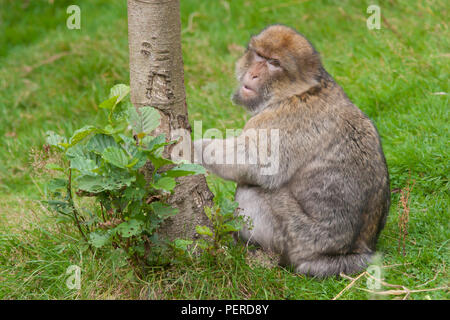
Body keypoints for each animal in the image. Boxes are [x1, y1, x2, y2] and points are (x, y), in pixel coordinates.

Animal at [193, 25, 390, 278]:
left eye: (274, 63)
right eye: (259, 55)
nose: (253, 74)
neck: (297, 90)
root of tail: (352, 251)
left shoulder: (282, 118)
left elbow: (254, 161)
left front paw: (186, 145)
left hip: (299, 237)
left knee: (251, 190)